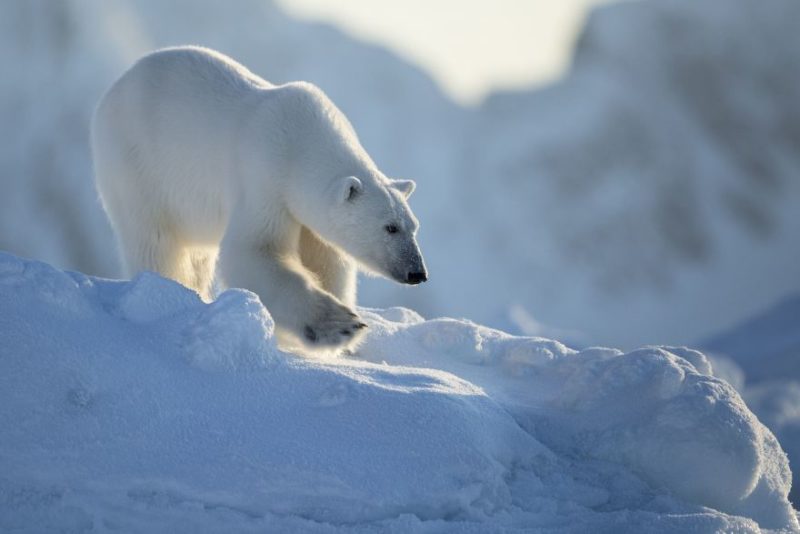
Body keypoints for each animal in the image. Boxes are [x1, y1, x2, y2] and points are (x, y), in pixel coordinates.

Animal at [91, 47, 428, 352]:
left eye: (413, 227)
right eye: (390, 227)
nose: (417, 273)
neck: (303, 144)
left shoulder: (307, 216)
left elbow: (327, 260)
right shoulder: (264, 175)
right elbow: (254, 249)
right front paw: (340, 325)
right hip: (137, 164)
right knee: (156, 241)